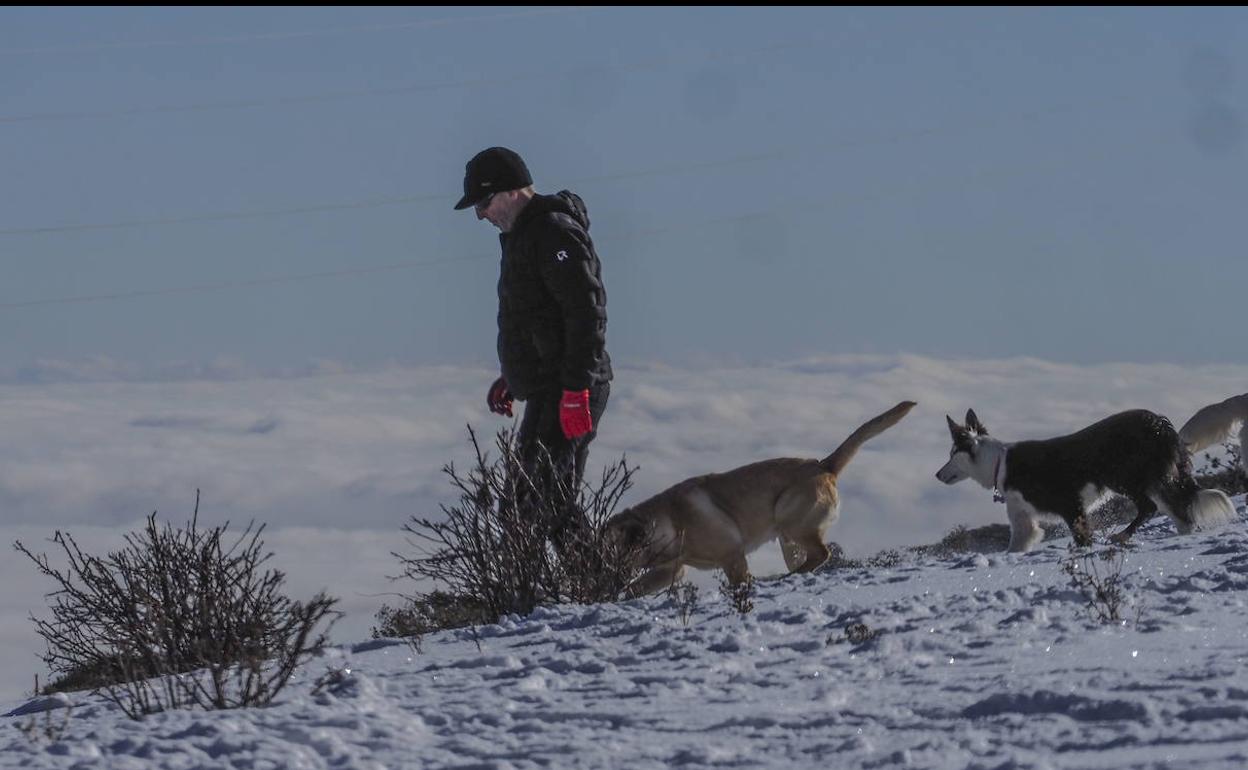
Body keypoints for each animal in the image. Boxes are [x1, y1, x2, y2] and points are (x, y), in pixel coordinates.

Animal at [606, 401, 918, 594]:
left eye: (610, 551)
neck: (668, 521)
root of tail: (824, 465)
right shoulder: (671, 570)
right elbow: (635, 589)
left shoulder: (732, 556)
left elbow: (739, 580)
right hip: (788, 540)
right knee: (815, 557)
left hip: (791, 520)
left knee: (822, 553)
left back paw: (786, 578)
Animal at [933, 404, 1233, 549]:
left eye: (951, 454)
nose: (936, 474)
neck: (999, 463)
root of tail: (1159, 422)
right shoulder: (1024, 520)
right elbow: (1018, 544)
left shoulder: (1070, 505)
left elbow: (1081, 537)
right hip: (1154, 477)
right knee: (1178, 510)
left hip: (1123, 475)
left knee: (1150, 507)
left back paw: (1122, 537)